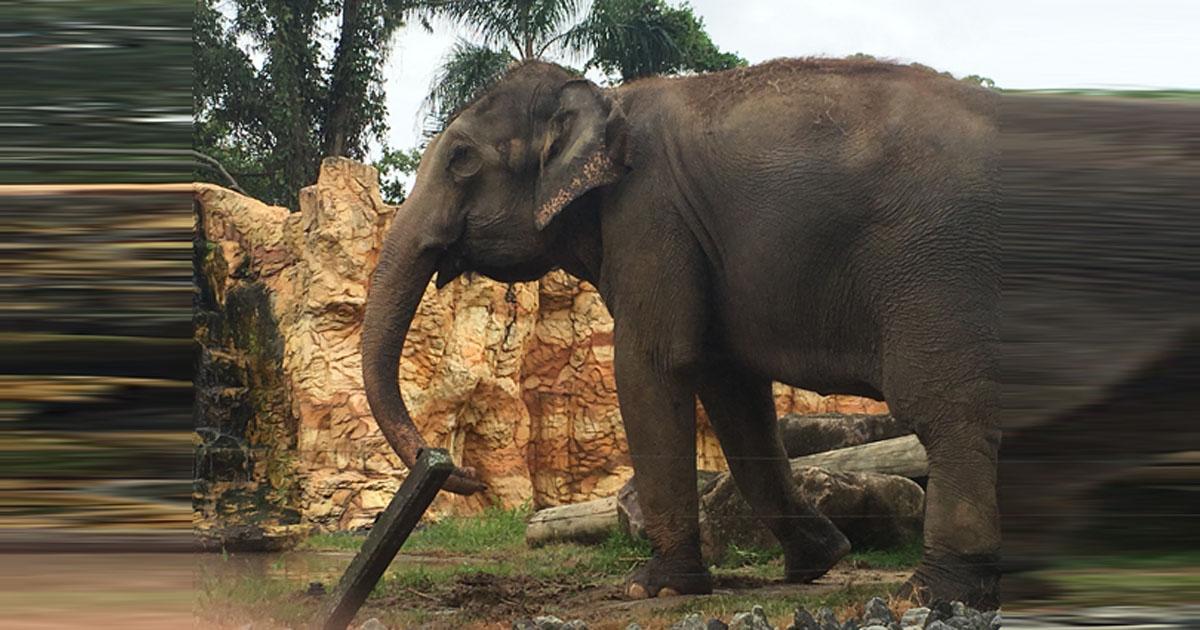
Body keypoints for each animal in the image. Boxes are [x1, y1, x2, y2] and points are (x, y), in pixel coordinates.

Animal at [360, 56, 1195, 607]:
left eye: (461, 160)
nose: (456, 468)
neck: (606, 98)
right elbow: (730, 385)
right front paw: (817, 563)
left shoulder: (649, 215)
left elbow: (656, 365)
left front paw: (652, 588)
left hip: (944, 264)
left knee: (948, 411)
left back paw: (936, 592)